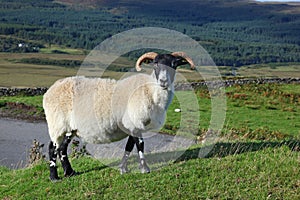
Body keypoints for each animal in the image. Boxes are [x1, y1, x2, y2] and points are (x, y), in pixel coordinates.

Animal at [43, 51, 196, 181]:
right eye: (155, 64)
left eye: (174, 64)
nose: (163, 82)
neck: (149, 91)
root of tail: (50, 91)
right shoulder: (135, 123)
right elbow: (140, 145)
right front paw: (145, 169)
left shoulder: (131, 126)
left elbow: (129, 146)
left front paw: (123, 169)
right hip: (57, 123)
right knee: (53, 147)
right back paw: (54, 177)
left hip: (69, 128)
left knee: (62, 148)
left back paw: (70, 172)